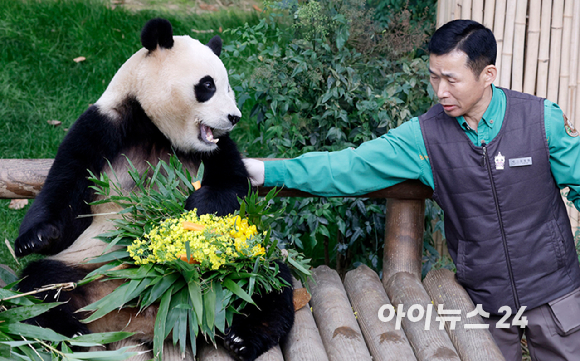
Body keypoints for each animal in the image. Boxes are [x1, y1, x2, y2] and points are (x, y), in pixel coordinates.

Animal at [14, 17, 294, 360]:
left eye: (228, 87)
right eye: (208, 86)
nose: (234, 117)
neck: (156, 128)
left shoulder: (217, 149)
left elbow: (233, 187)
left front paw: (197, 207)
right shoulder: (102, 126)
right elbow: (65, 189)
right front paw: (35, 238)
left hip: (239, 256)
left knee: (265, 277)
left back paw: (242, 337)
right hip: (85, 265)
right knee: (40, 287)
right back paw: (72, 334)